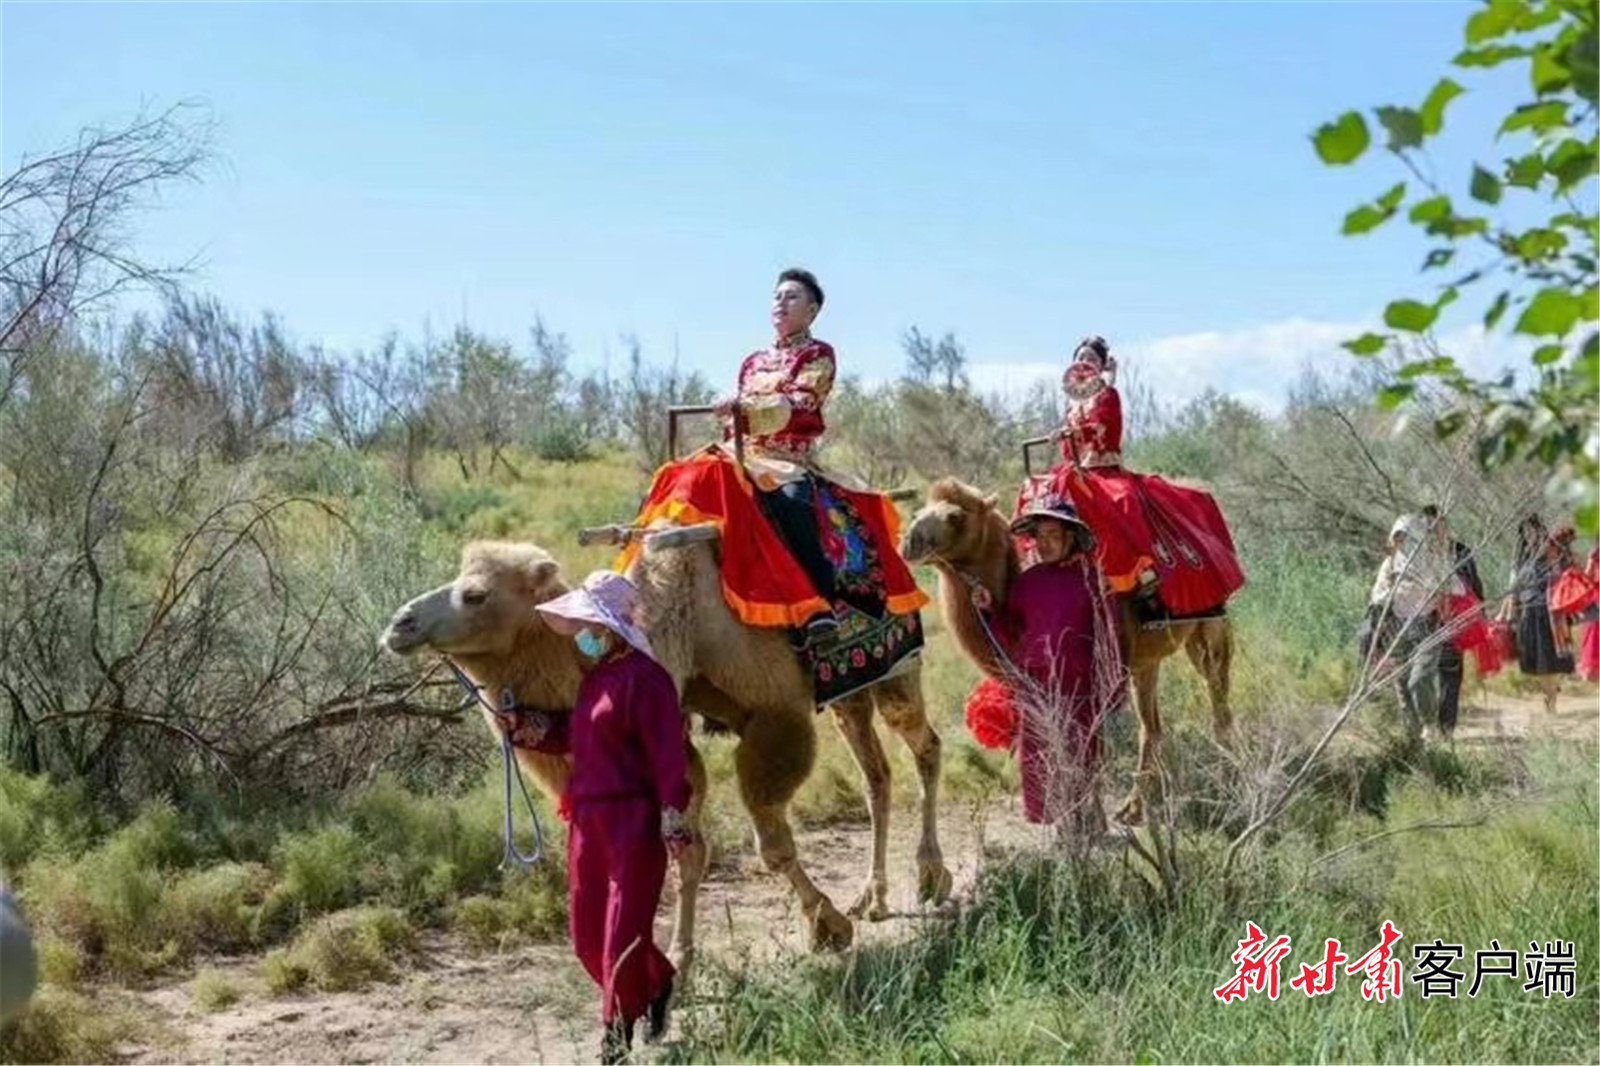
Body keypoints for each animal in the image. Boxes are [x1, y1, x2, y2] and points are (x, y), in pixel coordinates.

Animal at [377, 534, 947, 960]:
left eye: (476, 594)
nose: (399, 624)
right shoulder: (676, 743)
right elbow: (687, 851)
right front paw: (680, 962)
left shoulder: (775, 714)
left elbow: (772, 847)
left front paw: (828, 926)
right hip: (848, 692)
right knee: (877, 775)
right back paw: (873, 897)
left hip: (896, 668)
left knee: (926, 745)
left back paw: (932, 876)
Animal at [902, 480, 1235, 819]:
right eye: (917, 511)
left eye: (955, 516)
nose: (909, 541)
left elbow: (1087, 746)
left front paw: (1087, 814)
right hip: (1146, 659)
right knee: (1151, 726)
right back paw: (1134, 807)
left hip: (1211, 628)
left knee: (1219, 703)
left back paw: (1226, 784)